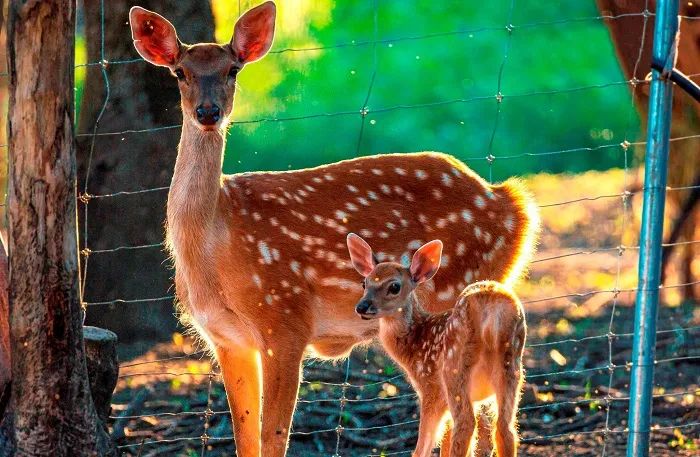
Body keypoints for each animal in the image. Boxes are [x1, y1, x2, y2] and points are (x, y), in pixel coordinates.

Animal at [348, 235, 528, 456]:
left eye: (394, 287)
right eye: (364, 283)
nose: (362, 306)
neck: (416, 341)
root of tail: (491, 306)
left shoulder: (431, 388)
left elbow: (425, 445)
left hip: (453, 369)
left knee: (466, 424)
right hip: (512, 367)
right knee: (505, 428)